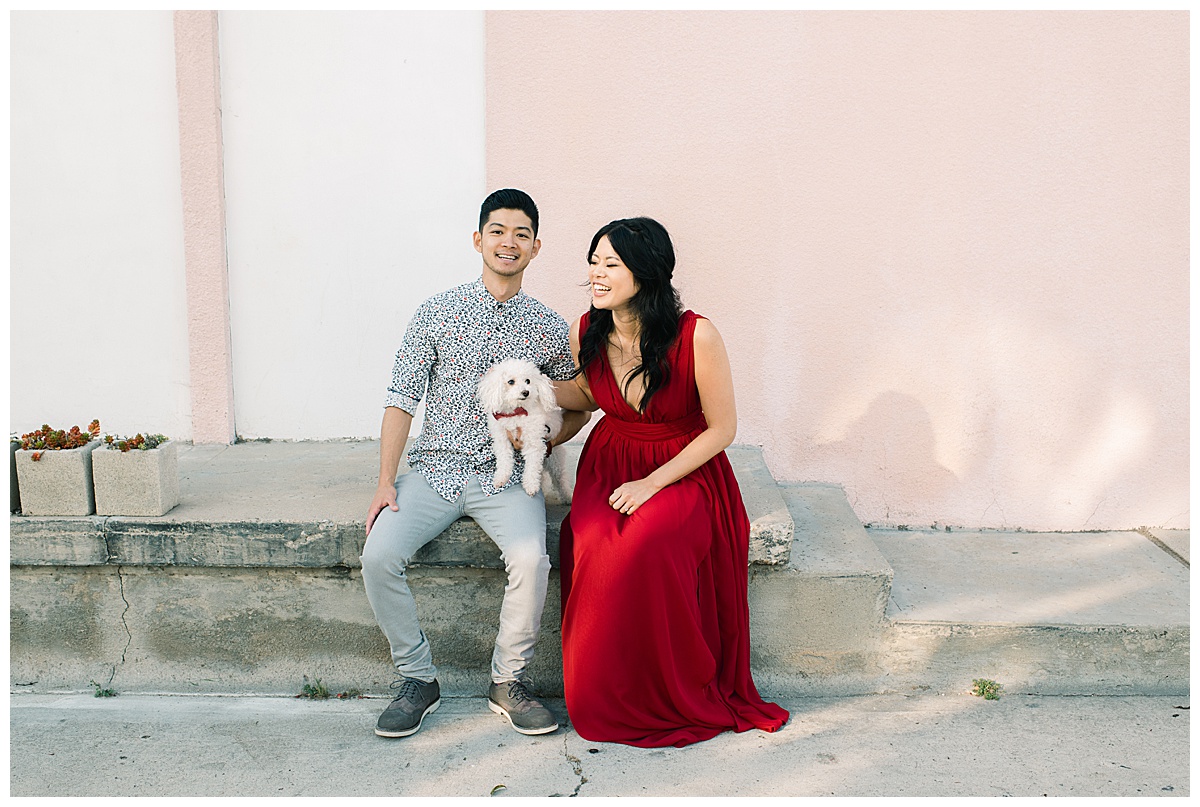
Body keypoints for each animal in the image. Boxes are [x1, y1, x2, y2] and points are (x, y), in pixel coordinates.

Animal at [475, 360, 564, 497]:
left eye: (528, 381)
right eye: (511, 382)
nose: (526, 392)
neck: (515, 412)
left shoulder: (534, 442)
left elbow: (532, 467)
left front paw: (531, 486)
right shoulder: (501, 439)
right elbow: (504, 459)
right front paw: (501, 478)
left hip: (555, 461)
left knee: (561, 482)